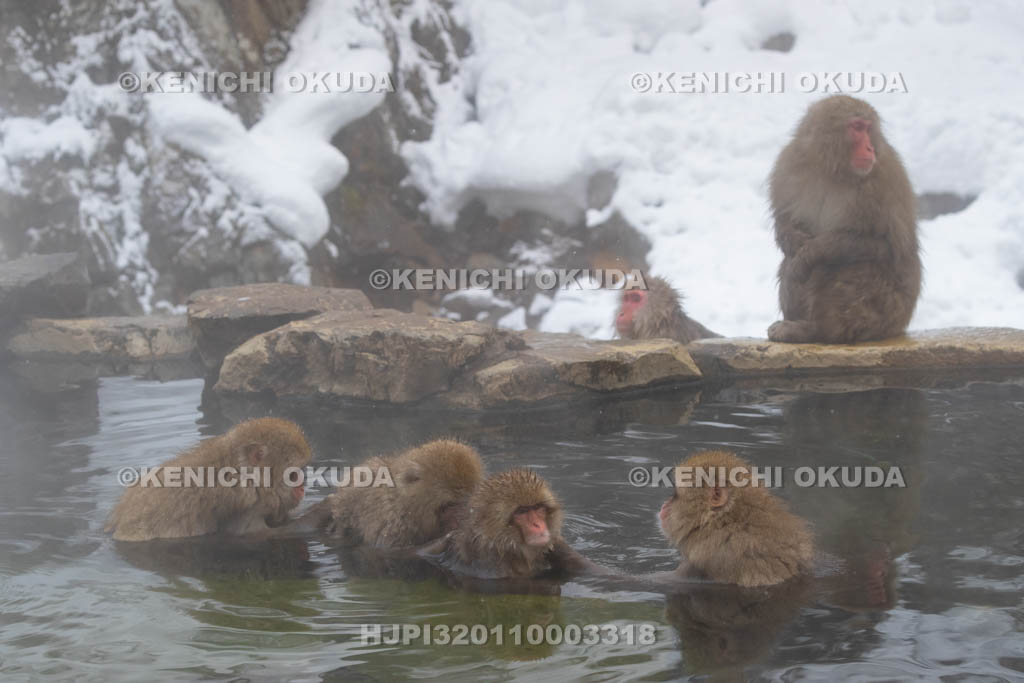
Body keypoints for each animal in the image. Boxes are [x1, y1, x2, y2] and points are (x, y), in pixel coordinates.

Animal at [767, 95, 921, 344]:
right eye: (857, 127)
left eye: (868, 128)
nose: (870, 147)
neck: (833, 171)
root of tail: (898, 327)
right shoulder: (787, 167)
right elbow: (786, 222)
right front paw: (793, 241)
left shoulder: (882, 183)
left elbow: (885, 246)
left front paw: (810, 253)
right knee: (789, 264)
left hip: (888, 311)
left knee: (852, 267)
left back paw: (815, 330)